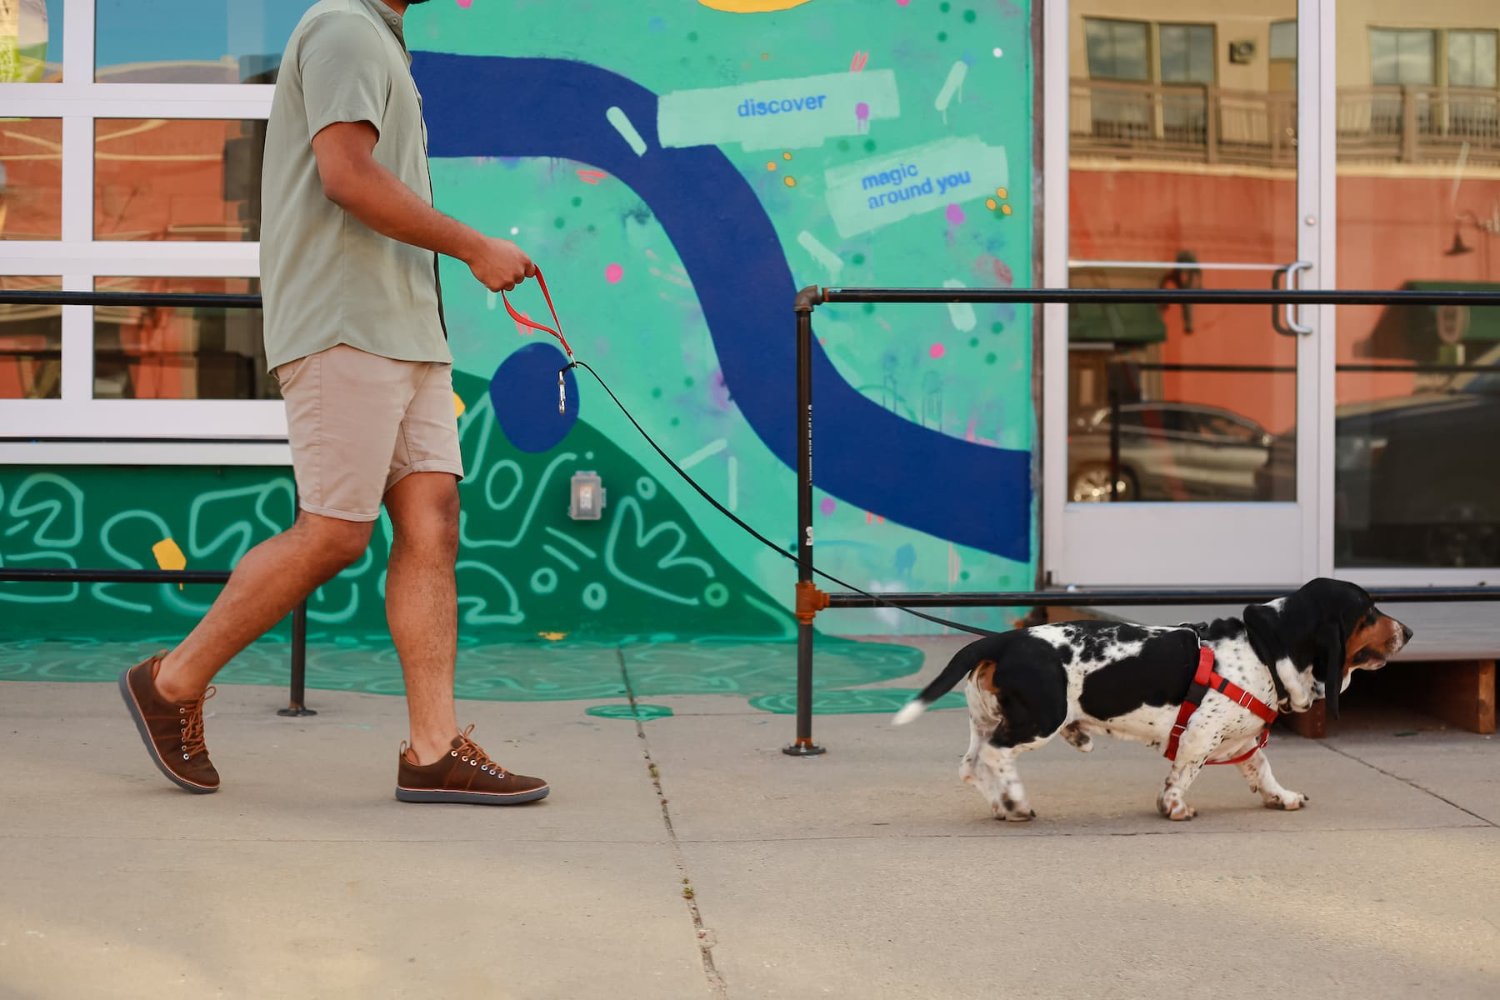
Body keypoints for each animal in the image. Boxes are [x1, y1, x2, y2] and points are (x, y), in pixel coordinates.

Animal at [894, 578, 1410, 821]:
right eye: (1369, 611)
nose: (1407, 631)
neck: (1267, 647)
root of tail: (1001, 642)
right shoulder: (1202, 737)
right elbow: (1183, 774)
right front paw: (1175, 807)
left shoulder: (1242, 741)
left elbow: (1262, 770)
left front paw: (1281, 797)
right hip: (1040, 719)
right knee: (997, 756)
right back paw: (1016, 801)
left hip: (986, 721)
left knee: (972, 765)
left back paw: (1003, 804)